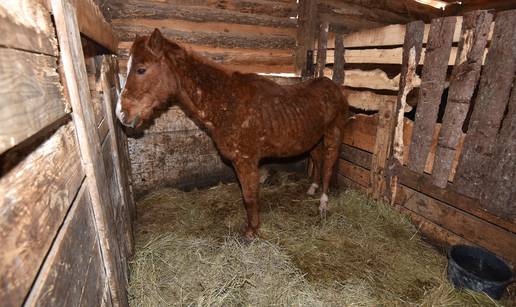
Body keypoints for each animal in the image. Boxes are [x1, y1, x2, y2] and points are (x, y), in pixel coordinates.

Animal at [117, 29, 350, 241]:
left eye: (141, 69)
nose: (122, 114)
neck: (228, 102)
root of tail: (334, 86)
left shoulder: (247, 160)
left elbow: (250, 197)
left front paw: (251, 232)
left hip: (334, 133)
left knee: (329, 165)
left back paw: (323, 204)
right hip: (314, 137)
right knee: (318, 159)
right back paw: (312, 189)